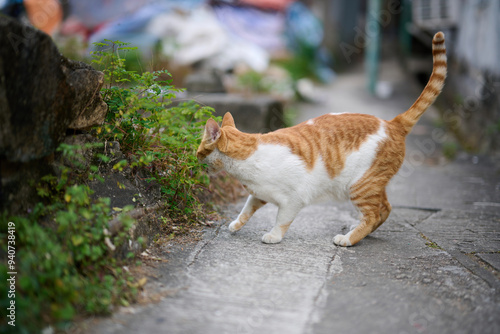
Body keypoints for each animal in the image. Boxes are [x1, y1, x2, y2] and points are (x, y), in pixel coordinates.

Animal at [197, 32, 448, 245]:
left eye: (199, 149)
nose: (195, 158)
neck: (248, 160)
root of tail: (392, 122)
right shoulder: (258, 194)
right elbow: (246, 209)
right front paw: (235, 224)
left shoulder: (293, 200)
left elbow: (281, 220)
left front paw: (273, 236)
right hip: (372, 183)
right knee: (384, 209)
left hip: (360, 185)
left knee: (373, 214)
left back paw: (348, 239)